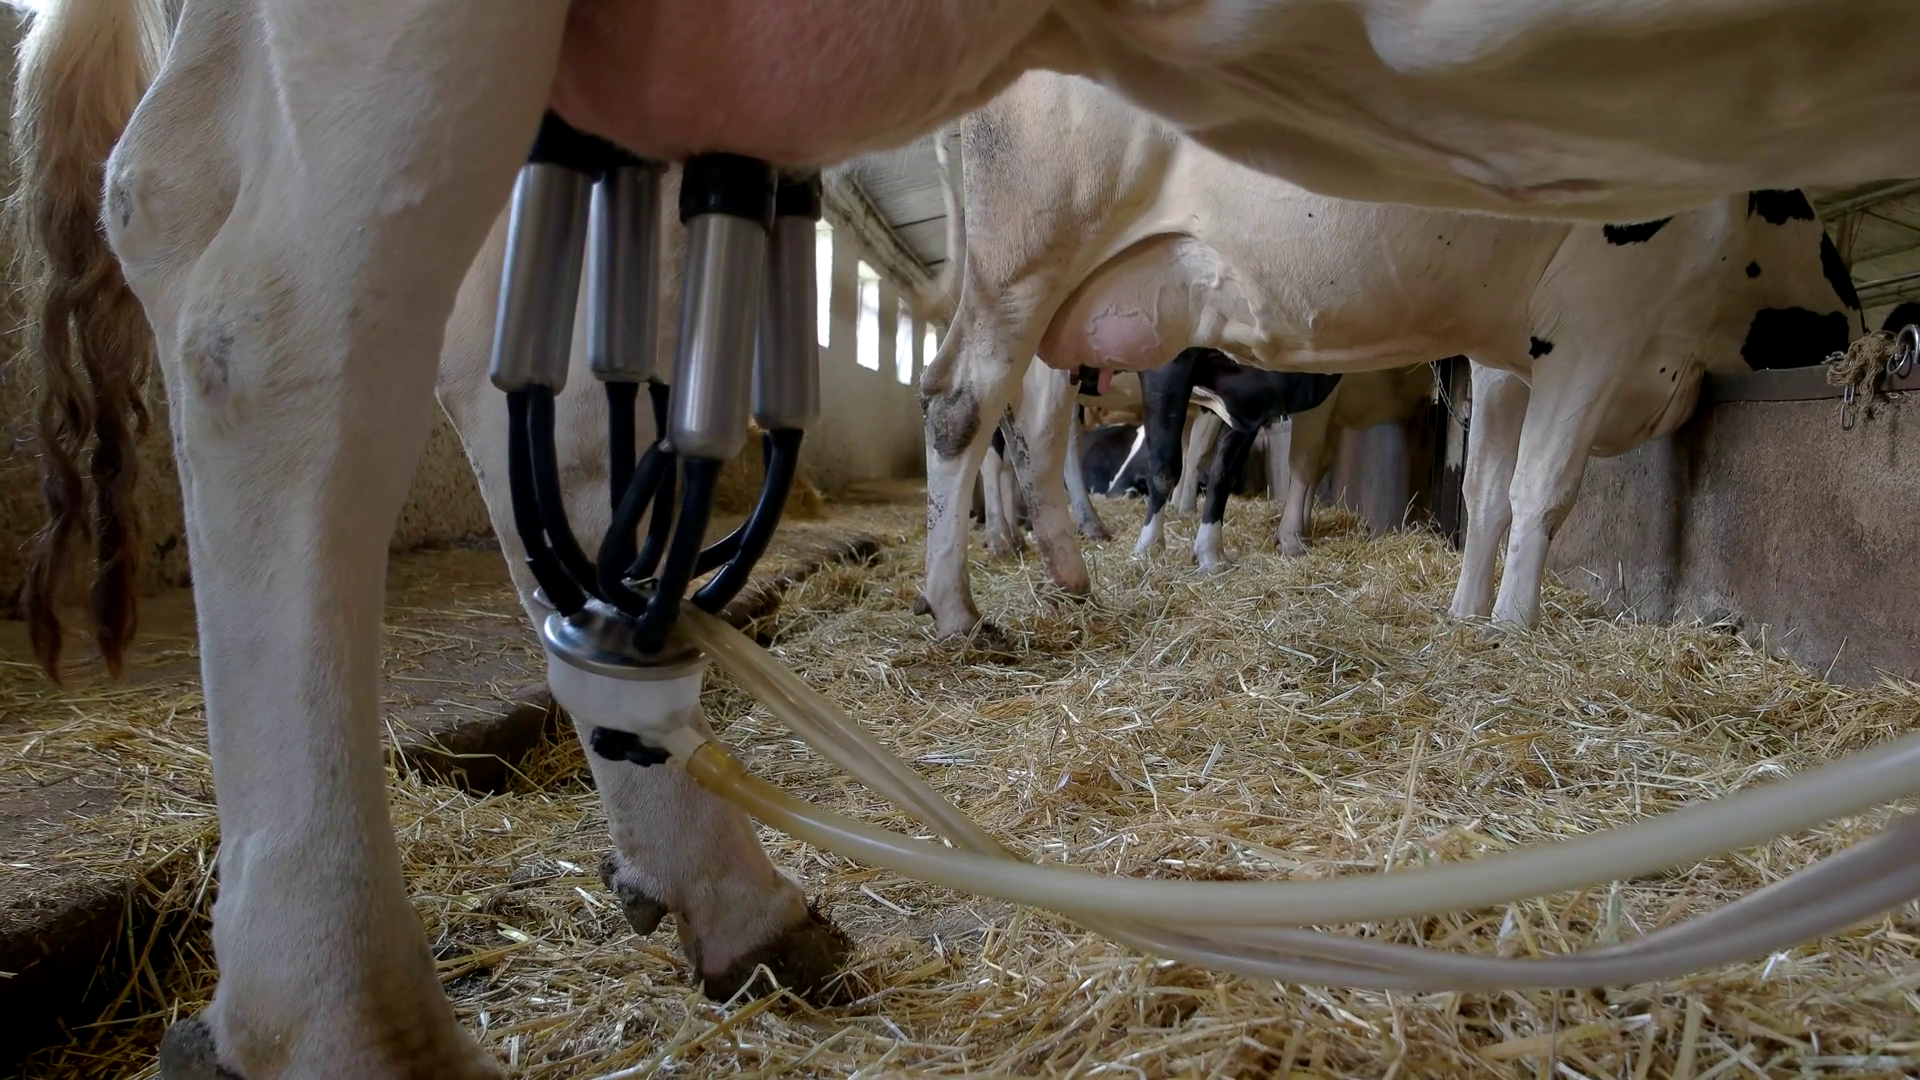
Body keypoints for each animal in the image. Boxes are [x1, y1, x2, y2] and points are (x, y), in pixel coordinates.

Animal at [913, 73, 1858, 638]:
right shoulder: (1600, 324)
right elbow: (1542, 490)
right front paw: (1513, 625)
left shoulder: (1512, 357)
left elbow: (1485, 495)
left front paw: (1468, 614)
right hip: (1028, 257)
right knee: (959, 403)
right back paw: (958, 610)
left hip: (1064, 306)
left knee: (1033, 432)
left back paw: (1068, 575)